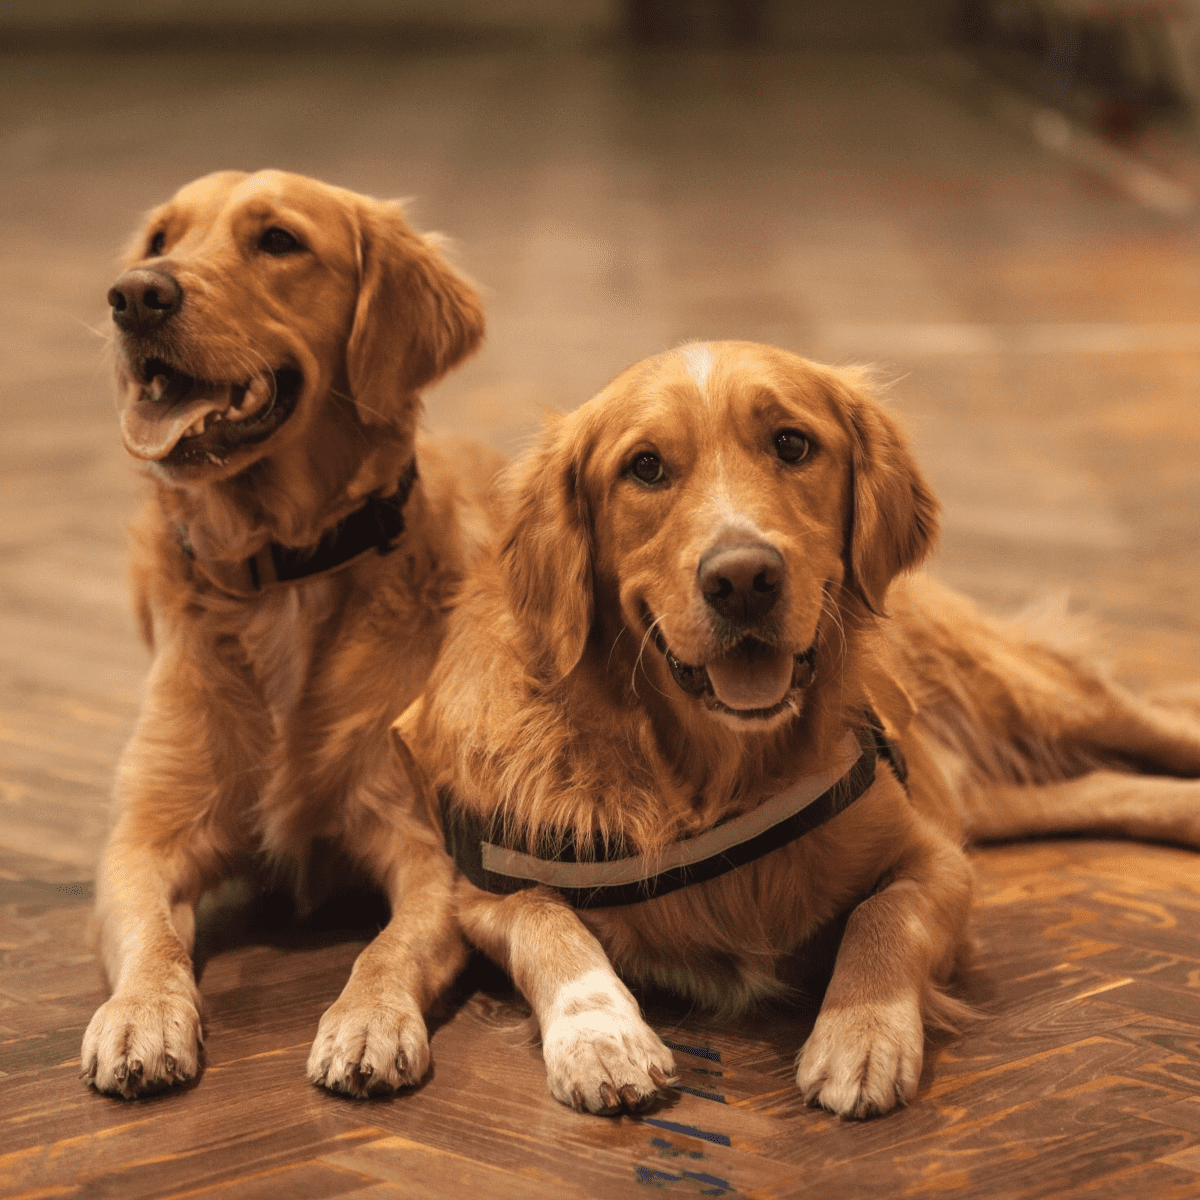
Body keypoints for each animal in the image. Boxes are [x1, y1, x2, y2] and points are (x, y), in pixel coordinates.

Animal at [81, 169, 501, 1099]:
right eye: (160, 238)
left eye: (278, 241)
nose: (135, 295)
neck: (281, 574)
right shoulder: (142, 840)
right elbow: (151, 937)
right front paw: (140, 1015)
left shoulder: (428, 849)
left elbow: (389, 946)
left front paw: (370, 1020)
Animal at [398, 343, 1200, 1118]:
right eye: (645, 467)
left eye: (791, 444)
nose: (742, 579)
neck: (712, 775)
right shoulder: (486, 889)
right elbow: (548, 928)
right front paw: (601, 1037)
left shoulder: (936, 858)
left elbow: (884, 912)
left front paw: (861, 1032)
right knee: (1110, 786)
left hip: (1032, 691)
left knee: (1155, 725)